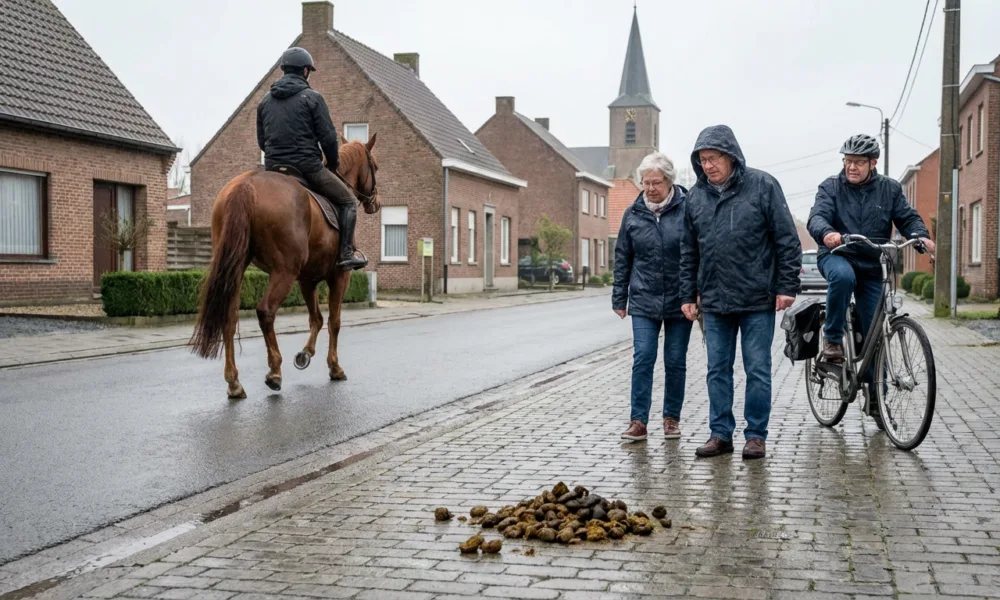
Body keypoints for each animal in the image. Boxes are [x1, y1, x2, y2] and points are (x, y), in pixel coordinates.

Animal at [189, 134, 379, 399]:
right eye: (375, 166)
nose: (376, 203)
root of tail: (246, 185)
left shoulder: (307, 280)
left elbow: (316, 318)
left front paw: (304, 355)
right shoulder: (340, 276)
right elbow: (334, 321)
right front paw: (334, 367)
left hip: (236, 268)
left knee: (229, 315)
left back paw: (234, 383)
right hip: (284, 272)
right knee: (266, 311)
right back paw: (274, 372)